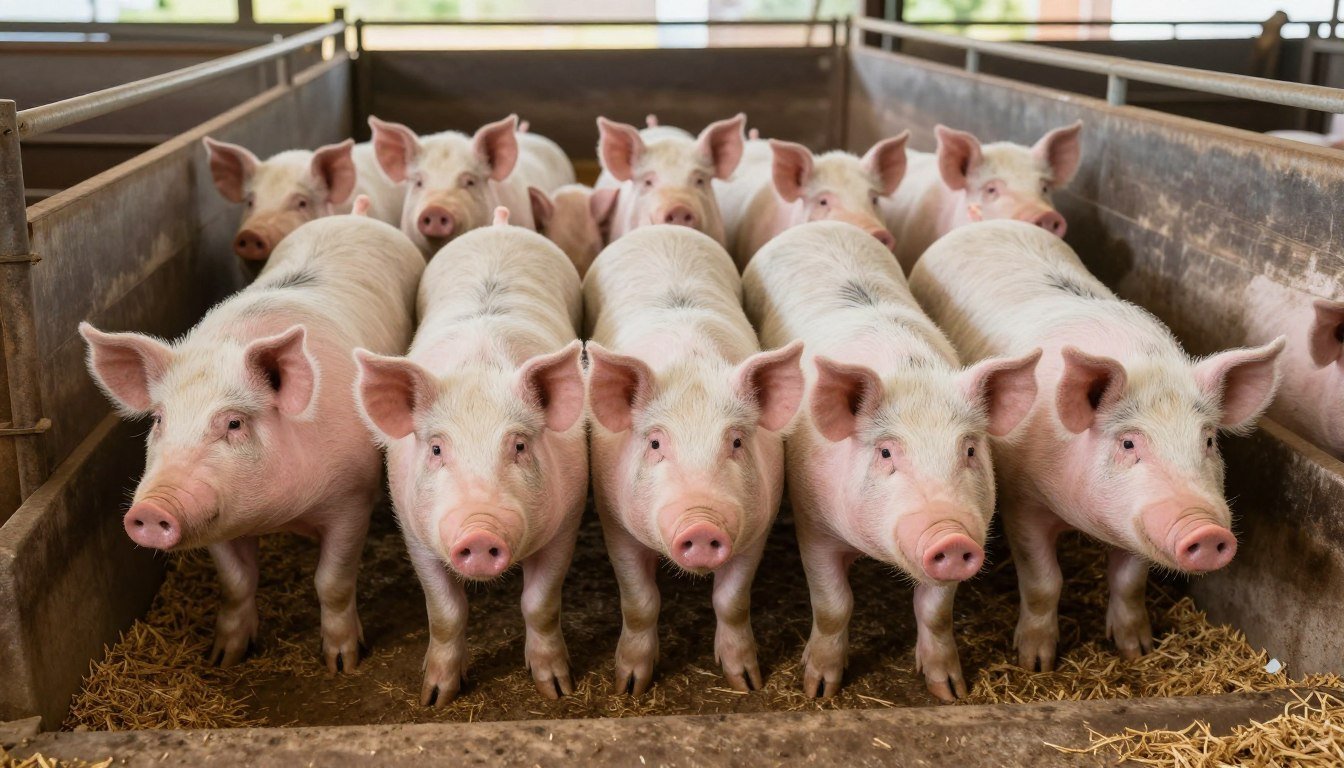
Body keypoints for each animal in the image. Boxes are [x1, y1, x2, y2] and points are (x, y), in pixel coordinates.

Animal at [80, 214, 425, 672]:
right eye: (158, 419)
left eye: (234, 423)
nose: (152, 509)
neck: (274, 515)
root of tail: (354, 214)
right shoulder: (214, 517)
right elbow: (236, 582)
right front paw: (222, 659)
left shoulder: (352, 497)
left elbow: (331, 581)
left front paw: (342, 663)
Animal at [353, 208, 586, 706]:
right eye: (437, 448)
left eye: (519, 445)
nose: (479, 530)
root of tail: (498, 224)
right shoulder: (413, 528)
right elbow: (445, 610)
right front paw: (434, 697)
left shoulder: (569, 517)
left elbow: (540, 603)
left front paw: (556, 689)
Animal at [584, 225, 805, 695]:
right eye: (655, 444)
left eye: (736, 441)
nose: (701, 524)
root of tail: (661, 227)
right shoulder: (614, 519)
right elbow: (640, 600)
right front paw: (629, 685)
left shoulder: (759, 523)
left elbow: (732, 599)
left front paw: (746, 682)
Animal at [742, 221, 1040, 701]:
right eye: (886, 452)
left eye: (969, 449)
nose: (949, 535)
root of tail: (819, 224)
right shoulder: (814, 521)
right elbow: (834, 604)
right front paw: (818, 689)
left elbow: (935, 611)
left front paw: (950, 691)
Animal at [909, 220, 1285, 672]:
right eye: (1128, 442)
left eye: (1209, 439)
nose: (1208, 530)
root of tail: (986, 224)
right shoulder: (1022, 499)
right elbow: (1044, 581)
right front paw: (1035, 663)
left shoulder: (1136, 521)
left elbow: (1129, 581)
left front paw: (1137, 650)